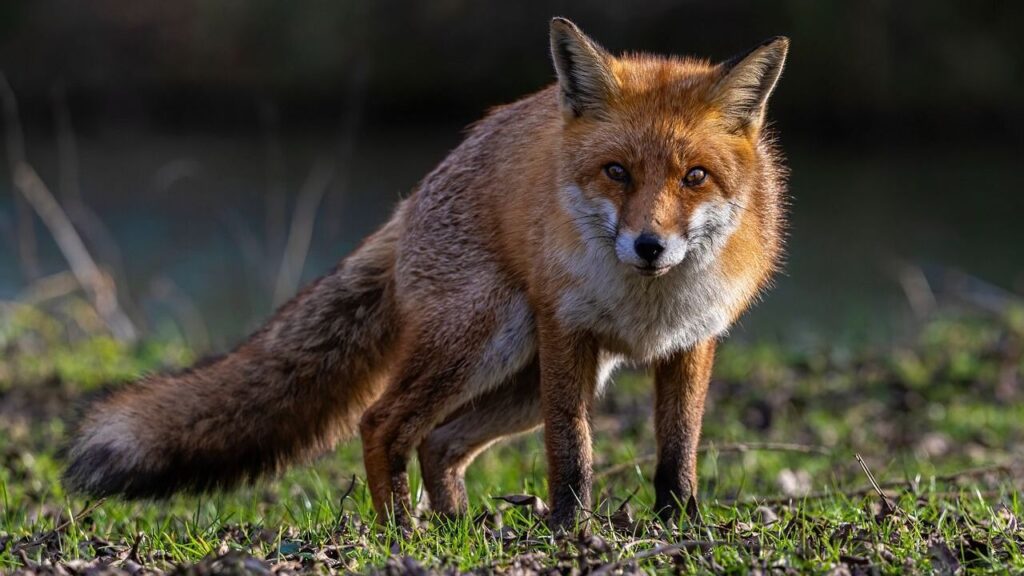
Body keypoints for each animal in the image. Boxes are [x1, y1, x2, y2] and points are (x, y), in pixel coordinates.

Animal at [65, 18, 789, 531]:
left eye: (694, 177)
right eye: (616, 171)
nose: (649, 246)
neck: (647, 305)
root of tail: (412, 198)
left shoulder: (692, 342)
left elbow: (678, 450)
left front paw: (680, 524)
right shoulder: (567, 333)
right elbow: (572, 450)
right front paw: (570, 530)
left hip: (522, 379)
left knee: (440, 441)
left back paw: (457, 527)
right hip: (486, 344)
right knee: (383, 423)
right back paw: (401, 531)